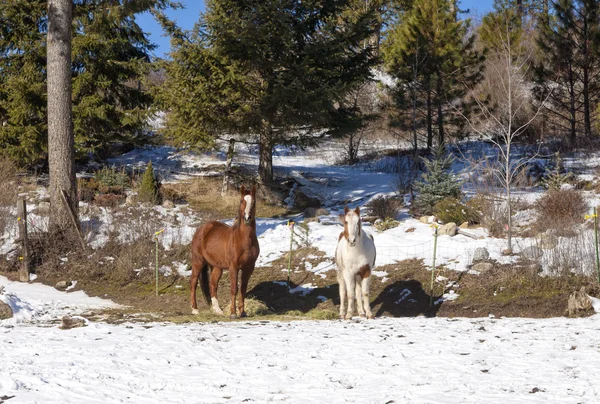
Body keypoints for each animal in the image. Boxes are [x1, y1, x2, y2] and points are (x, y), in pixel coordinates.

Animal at [190, 184, 260, 318]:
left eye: (254, 202)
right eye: (241, 201)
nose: (247, 218)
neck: (243, 240)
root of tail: (202, 229)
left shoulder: (249, 267)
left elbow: (243, 289)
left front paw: (243, 312)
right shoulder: (233, 267)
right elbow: (234, 288)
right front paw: (233, 313)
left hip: (217, 267)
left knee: (213, 285)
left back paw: (218, 310)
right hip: (198, 262)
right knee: (193, 283)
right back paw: (195, 310)